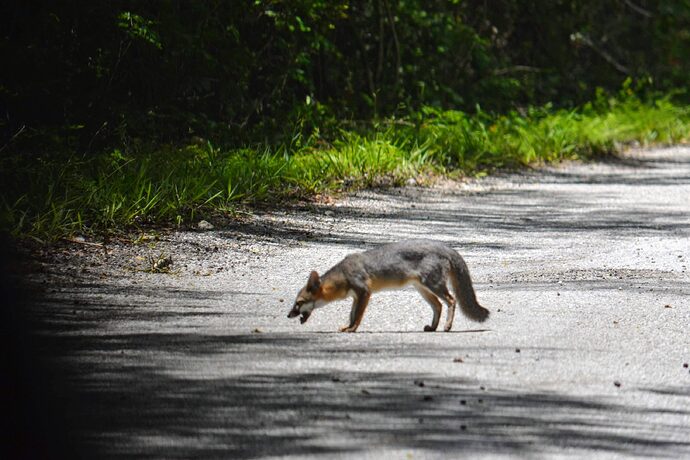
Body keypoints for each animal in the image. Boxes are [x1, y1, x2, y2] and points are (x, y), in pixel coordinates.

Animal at [288, 239, 486, 332]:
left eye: (299, 303)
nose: (288, 315)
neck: (343, 274)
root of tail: (445, 247)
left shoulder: (364, 292)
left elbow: (357, 316)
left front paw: (352, 329)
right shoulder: (356, 296)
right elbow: (352, 314)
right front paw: (348, 326)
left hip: (433, 285)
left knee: (451, 301)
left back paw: (447, 326)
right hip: (422, 289)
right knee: (438, 305)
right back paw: (433, 327)